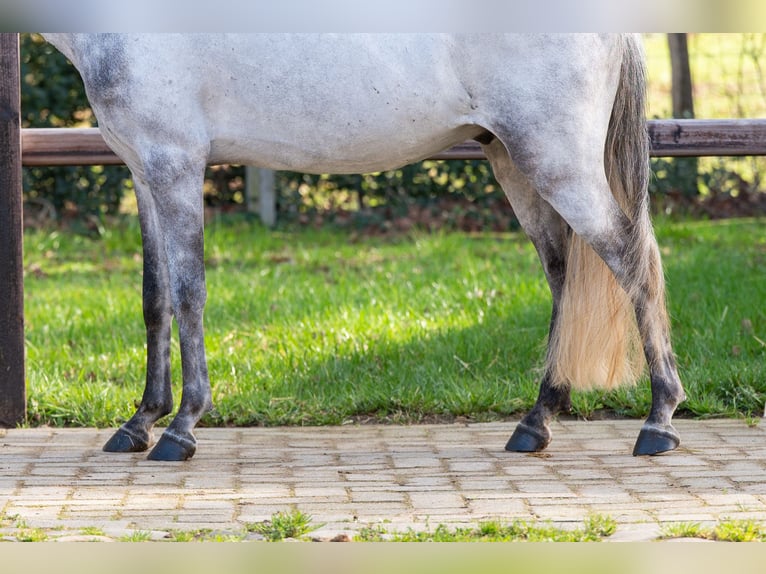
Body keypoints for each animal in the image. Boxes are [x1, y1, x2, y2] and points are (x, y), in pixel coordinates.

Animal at [42, 34, 685, 461]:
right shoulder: (142, 172)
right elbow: (155, 300)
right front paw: (138, 423)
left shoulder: (175, 166)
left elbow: (189, 295)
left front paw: (180, 428)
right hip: (515, 162)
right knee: (564, 277)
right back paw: (535, 423)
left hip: (556, 164)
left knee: (635, 262)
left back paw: (658, 422)